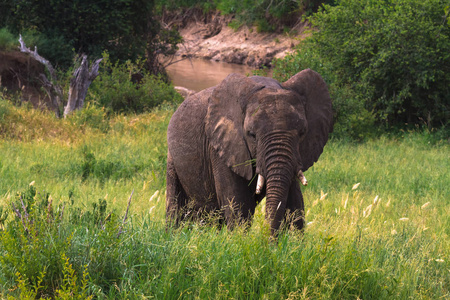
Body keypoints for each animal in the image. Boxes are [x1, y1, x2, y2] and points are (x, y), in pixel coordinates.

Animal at [166, 68, 334, 234]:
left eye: (302, 133)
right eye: (251, 134)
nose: (268, 238)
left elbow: (295, 202)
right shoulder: (219, 146)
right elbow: (238, 203)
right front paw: (239, 237)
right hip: (172, 158)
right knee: (175, 202)